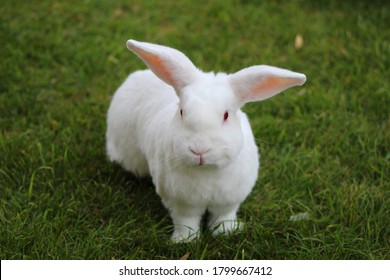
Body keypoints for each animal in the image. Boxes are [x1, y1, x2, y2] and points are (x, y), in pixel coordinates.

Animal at [106, 40, 304, 243]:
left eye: (226, 115)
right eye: (182, 112)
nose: (199, 150)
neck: (207, 171)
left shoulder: (228, 202)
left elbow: (224, 217)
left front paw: (226, 233)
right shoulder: (181, 203)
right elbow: (186, 221)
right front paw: (184, 241)